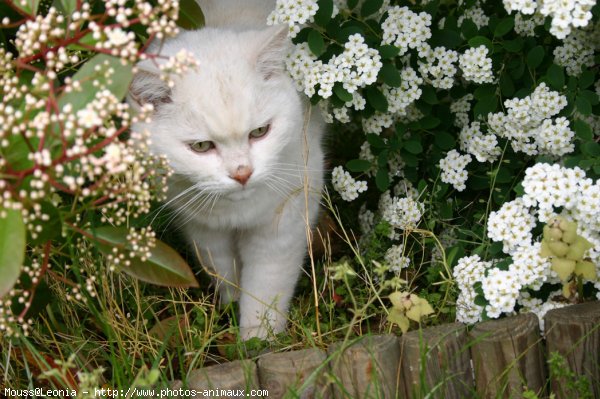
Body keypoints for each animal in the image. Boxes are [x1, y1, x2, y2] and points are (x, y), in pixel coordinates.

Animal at [127, 0, 324, 340]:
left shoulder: (284, 222)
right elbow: (224, 269)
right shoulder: (202, 228)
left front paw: (259, 337)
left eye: (260, 132)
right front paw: (232, 306)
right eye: (201, 146)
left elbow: (266, 285)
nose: (242, 173)